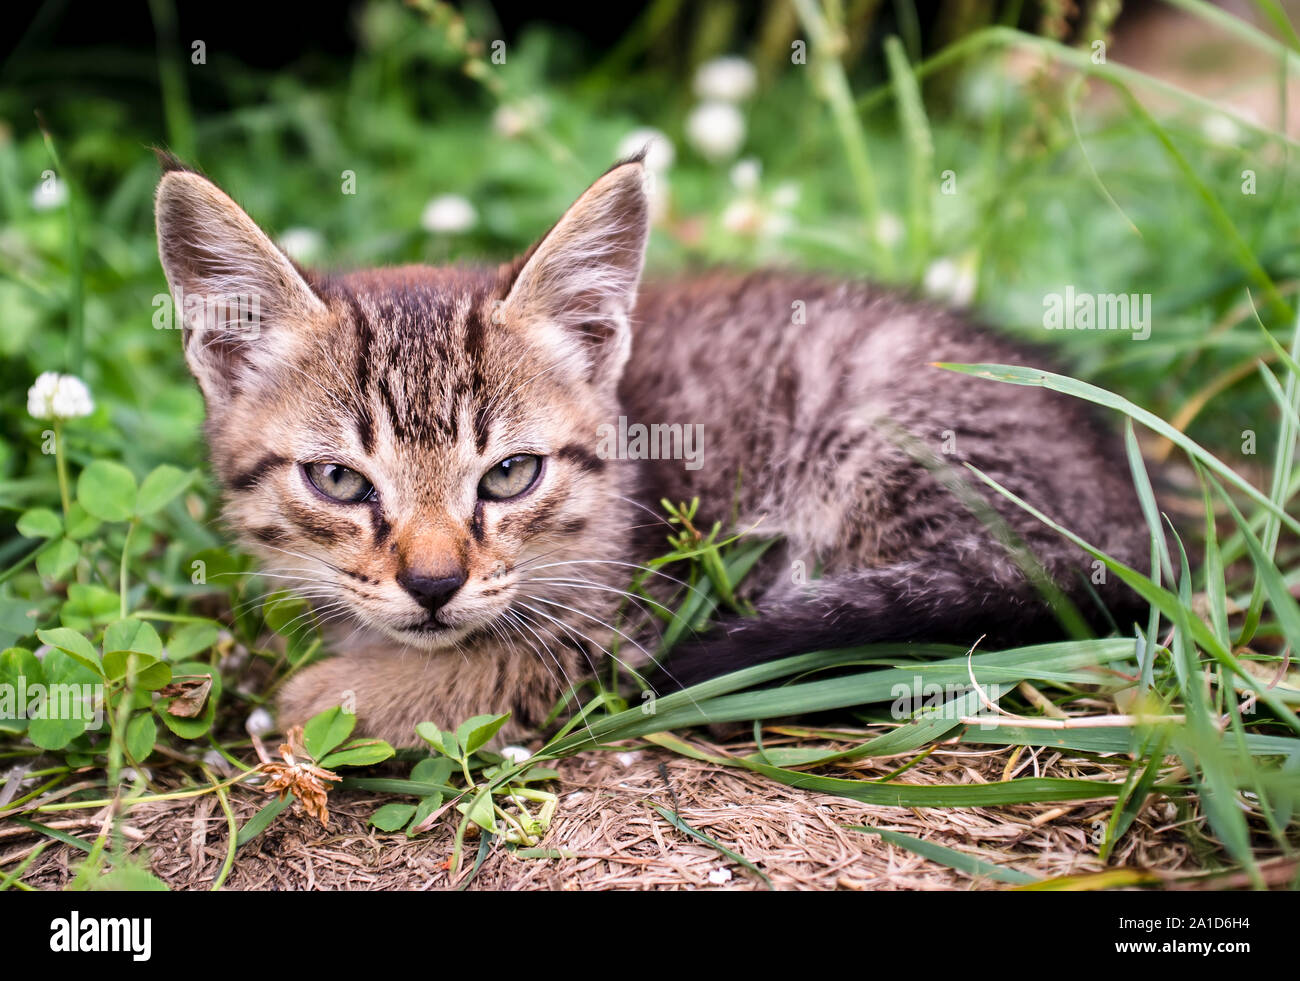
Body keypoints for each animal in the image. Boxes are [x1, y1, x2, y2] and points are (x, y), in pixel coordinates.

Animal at [154, 151, 1149, 743]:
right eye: (337, 480)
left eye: (510, 475)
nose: (433, 584)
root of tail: (1134, 520)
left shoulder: (637, 613)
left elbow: (504, 659)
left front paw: (330, 694)